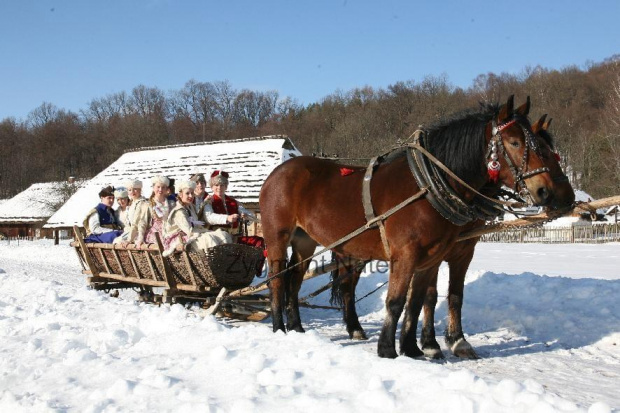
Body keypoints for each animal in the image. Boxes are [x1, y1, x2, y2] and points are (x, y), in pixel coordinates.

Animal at [260, 96, 564, 358]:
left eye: (544, 148)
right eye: (514, 142)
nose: (547, 192)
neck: (427, 185)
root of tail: (279, 172)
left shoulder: (433, 257)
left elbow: (418, 301)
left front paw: (413, 349)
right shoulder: (406, 254)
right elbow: (396, 301)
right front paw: (388, 349)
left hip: (306, 240)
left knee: (296, 279)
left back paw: (298, 328)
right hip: (277, 235)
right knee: (277, 279)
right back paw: (279, 328)